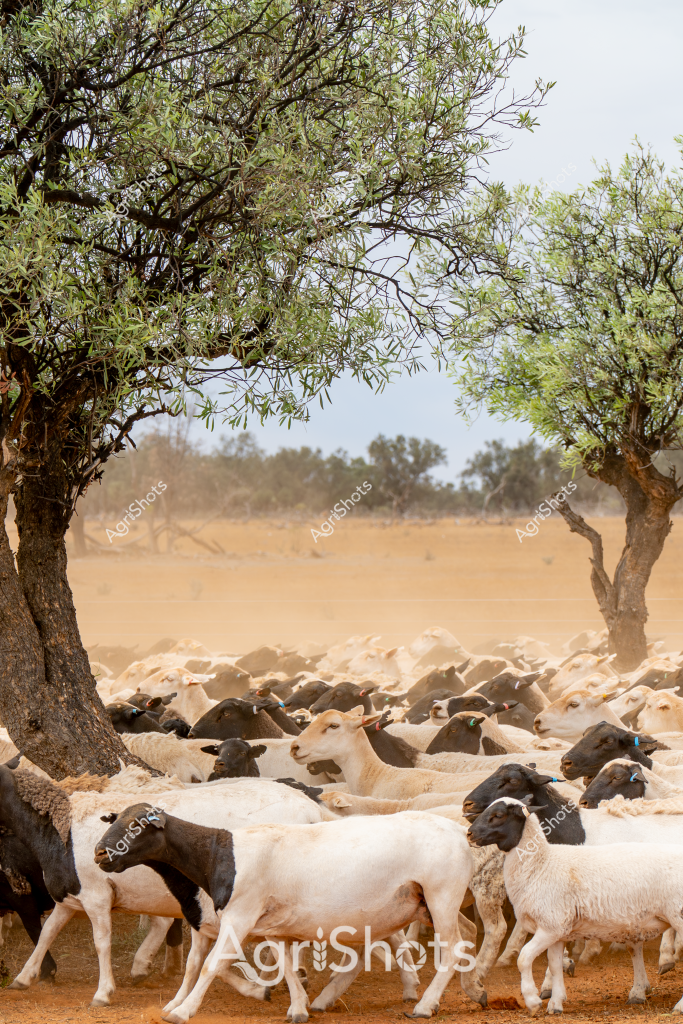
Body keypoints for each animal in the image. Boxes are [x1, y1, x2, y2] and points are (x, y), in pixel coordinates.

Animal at [468, 797, 683, 1012]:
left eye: (498, 815)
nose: (469, 833)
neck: (540, 864)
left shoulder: (549, 927)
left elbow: (524, 958)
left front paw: (533, 1000)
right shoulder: (557, 933)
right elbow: (554, 965)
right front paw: (555, 1004)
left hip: (678, 916)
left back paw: (678, 1005)